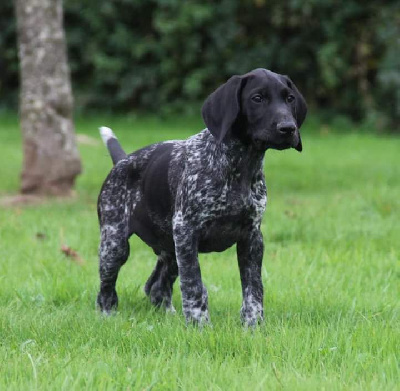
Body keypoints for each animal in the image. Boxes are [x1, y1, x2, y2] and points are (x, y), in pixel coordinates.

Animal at [96, 69, 306, 326]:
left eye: (289, 99)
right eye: (257, 98)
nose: (288, 128)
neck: (239, 165)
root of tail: (122, 161)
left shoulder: (252, 238)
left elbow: (253, 289)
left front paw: (253, 325)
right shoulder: (187, 230)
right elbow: (194, 285)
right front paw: (199, 324)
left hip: (171, 249)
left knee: (156, 287)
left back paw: (169, 316)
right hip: (115, 244)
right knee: (106, 290)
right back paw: (108, 317)